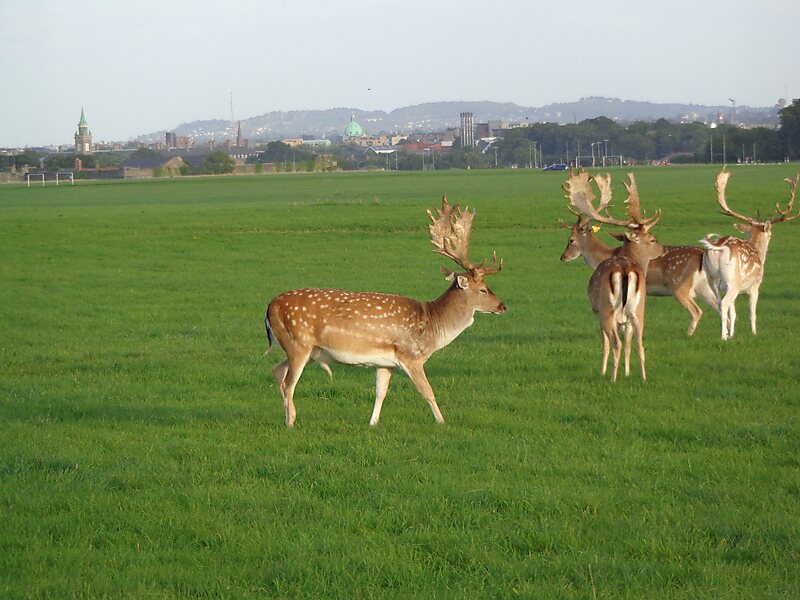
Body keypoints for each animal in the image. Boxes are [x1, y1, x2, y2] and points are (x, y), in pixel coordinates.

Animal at [266, 196, 504, 426]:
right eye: (483, 289)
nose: (502, 306)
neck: (431, 325)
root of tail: (269, 308)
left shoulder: (385, 362)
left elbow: (380, 392)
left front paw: (373, 423)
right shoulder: (411, 356)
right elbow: (428, 391)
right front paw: (442, 422)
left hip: (309, 351)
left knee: (277, 370)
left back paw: (289, 416)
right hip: (298, 343)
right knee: (288, 383)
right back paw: (290, 422)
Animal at [560, 214, 720, 338]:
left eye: (571, 240)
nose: (563, 257)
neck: (607, 255)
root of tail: (702, 253)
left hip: (680, 286)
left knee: (697, 311)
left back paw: (689, 335)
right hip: (704, 286)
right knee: (720, 305)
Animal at [564, 171, 668, 382]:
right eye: (653, 239)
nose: (664, 249)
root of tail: (625, 270)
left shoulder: (596, 311)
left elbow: (605, 343)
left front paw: (604, 371)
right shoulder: (626, 318)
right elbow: (629, 343)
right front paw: (627, 372)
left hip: (607, 309)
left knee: (615, 343)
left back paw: (612, 378)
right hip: (638, 309)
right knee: (638, 343)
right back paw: (642, 378)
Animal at [696, 169, 796, 340]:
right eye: (771, 234)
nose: (771, 236)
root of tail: (718, 247)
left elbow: (734, 312)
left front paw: (732, 334)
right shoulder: (755, 285)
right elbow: (752, 313)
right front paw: (754, 333)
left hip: (712, 279)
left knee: (719, 303)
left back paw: (725, 333)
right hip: (733, 281)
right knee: (724, 303)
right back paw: (722, 337)